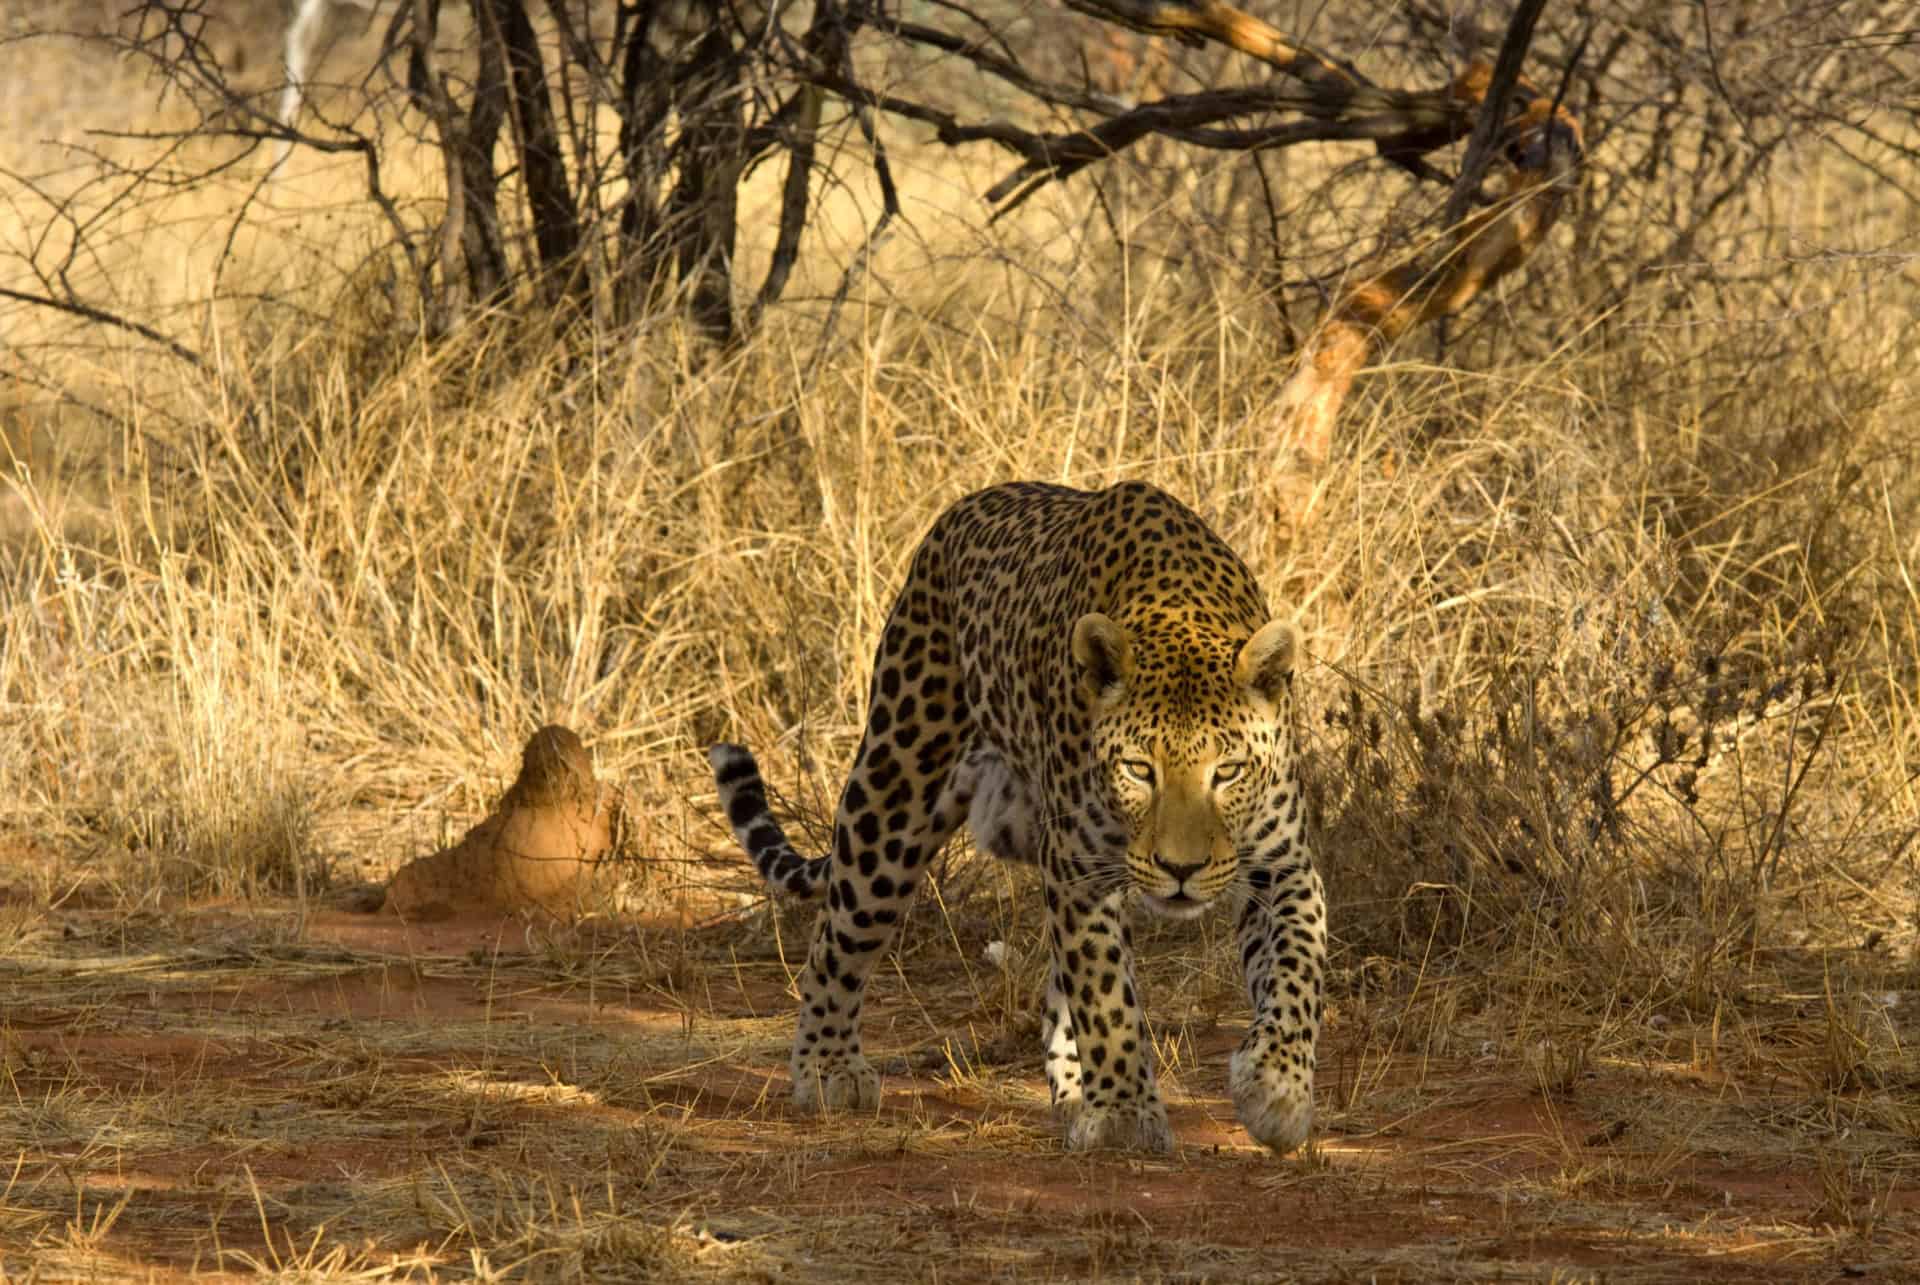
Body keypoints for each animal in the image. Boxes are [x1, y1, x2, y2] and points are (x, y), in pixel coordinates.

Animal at [714, 478, 1328, 1152]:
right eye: (1140, 769)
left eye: (1229, 771)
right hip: (894, 790)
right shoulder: (1080, 867)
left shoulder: (1283, 863)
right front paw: (1123, 1113)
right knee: (838, 937)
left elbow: (1298, 971)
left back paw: (1076, 1092)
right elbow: (1106, 996)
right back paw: (828, 1068)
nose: (1181, 870)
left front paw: (1278, 1091)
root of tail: (958, 513)